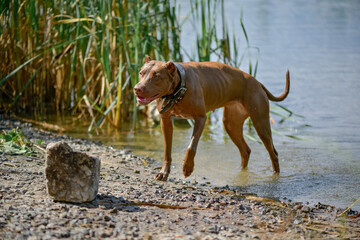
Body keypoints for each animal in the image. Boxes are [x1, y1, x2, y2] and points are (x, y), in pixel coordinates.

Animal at [134, 55, 290, 180]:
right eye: (141, 73)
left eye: (156, 76)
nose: (137, 88)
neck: (179, 88)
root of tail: (257, 82)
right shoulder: (165, 121)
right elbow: (167, 150)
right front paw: (164, 173)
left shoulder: (201, 118)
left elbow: (191, 146)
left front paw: (187, 168)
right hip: (231, 124)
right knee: (245, 151)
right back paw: (241, 171)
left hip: (260, 122)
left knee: (273, 153)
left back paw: (275, 176)